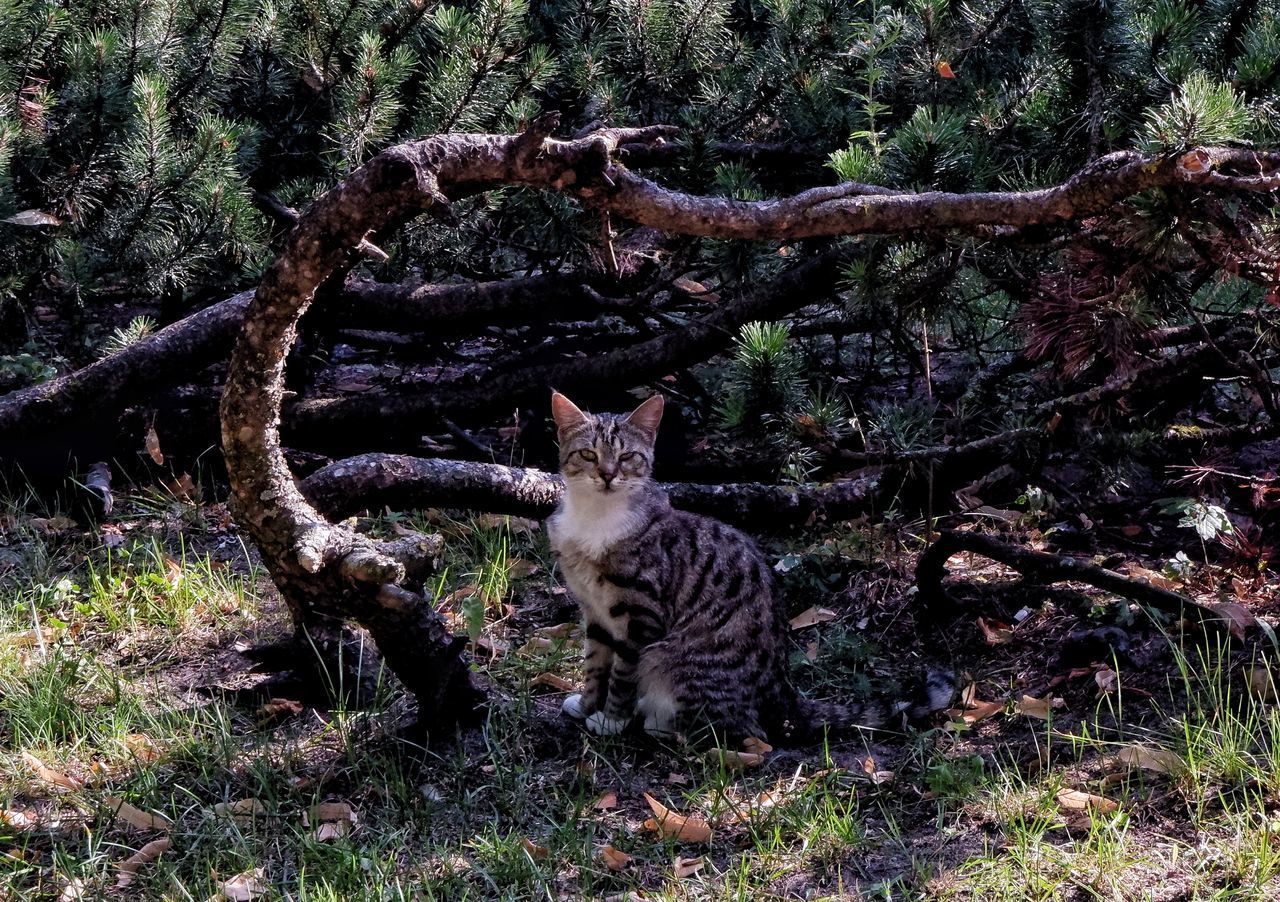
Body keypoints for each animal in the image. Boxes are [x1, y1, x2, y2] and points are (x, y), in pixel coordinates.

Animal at [540, 391, 952, 742]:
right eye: (589, 455)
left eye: (627, 457)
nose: (608, 474)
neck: (596, 518)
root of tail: (782, 690)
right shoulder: (594, 610)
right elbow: (595, 663)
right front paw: (587, 703)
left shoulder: (640, 617)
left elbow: (622, 674)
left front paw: (612, 719)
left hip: (667, 658)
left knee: (736, 729)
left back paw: (656, 721)